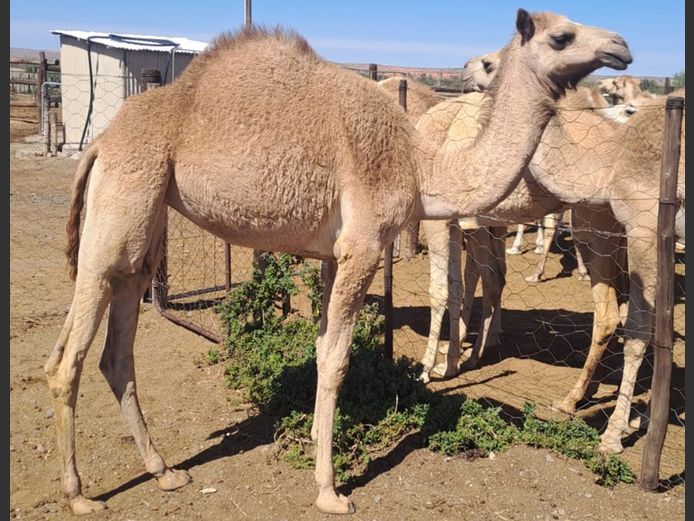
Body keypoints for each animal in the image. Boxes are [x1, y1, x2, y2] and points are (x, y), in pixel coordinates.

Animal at [44, 14, 631, 515]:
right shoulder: (364, 246)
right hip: (124, 201)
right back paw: (79, 495)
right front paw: (330, 489)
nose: (621, 47)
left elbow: (322, 345)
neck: (419, 164)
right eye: (561, 36)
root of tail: (99, 142)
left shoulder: (332, 255)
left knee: (115, 349)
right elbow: (336, 360)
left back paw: (164, 471)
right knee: (70, 357)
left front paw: (315, 447)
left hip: (142, 225)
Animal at [418, 86, 684, 454]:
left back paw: (609, 424)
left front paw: (429, 367)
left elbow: (442, 291)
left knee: (621, 316)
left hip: (612, 226)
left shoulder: (442, 219)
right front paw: (456, 359)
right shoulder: (462, 220)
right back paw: (593, 404)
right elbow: (465, 286)